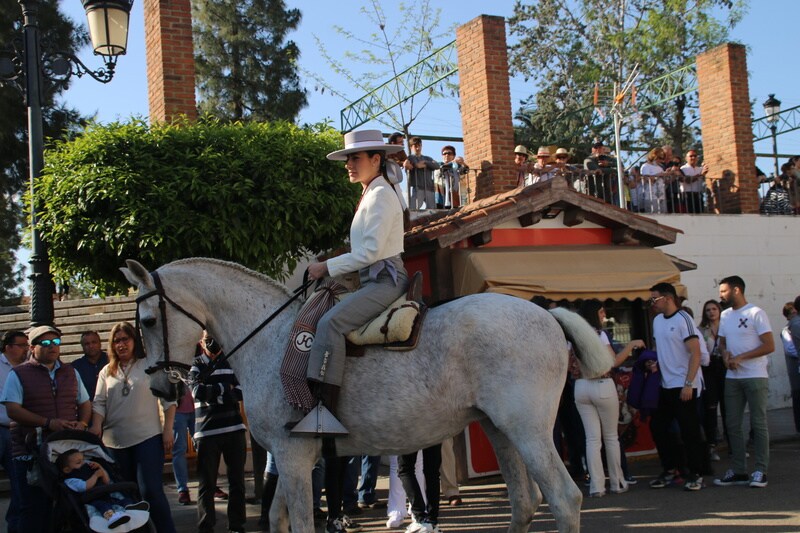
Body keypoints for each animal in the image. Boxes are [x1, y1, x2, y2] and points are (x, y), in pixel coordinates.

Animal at [123, 258, 612, 532]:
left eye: (147, 320)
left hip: (529, 431)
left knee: (564, 500)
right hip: (499, 430)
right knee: (524, 504)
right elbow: (279, 519)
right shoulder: (291, 457)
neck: (270, 339)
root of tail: (547, 315)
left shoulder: (293, 457)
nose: (161, 386)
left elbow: (300, 522)